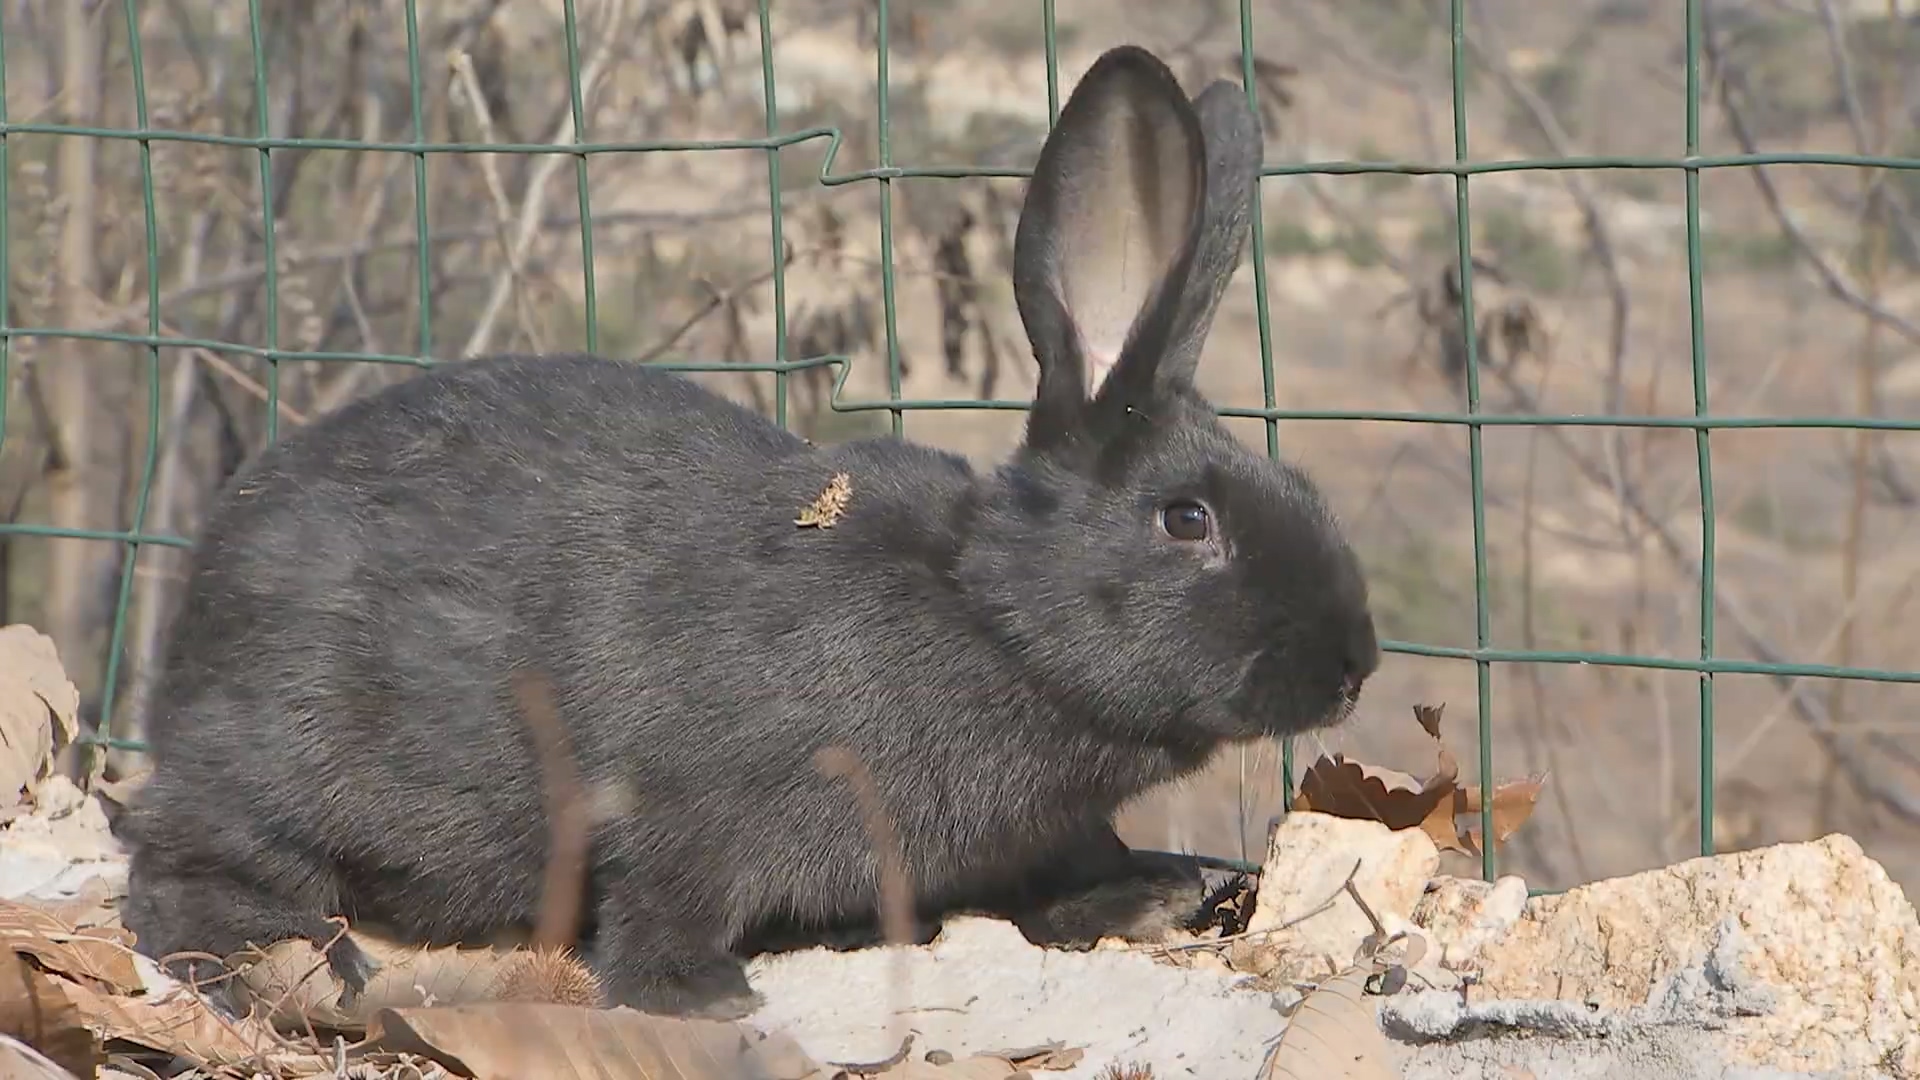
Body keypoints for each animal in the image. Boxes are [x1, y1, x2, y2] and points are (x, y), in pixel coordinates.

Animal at [116, 44, 1382, 1014]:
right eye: (1188, 519)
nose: (1353, 668)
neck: (990, 618)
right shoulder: (694, 808)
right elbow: (667, 902)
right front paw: (701, 996)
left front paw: (1160, 891)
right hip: (280, 764)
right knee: (182, 873)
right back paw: (290, 961)